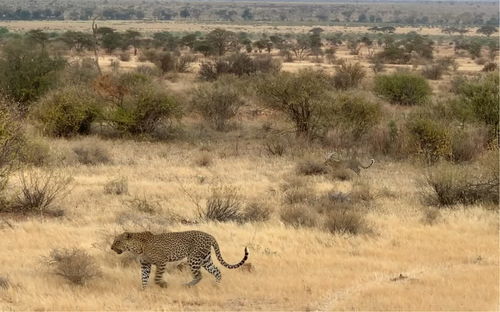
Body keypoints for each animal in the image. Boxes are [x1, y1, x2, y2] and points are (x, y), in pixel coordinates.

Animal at [111, 229, 248, 288]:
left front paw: (163, 284)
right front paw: (143, 290)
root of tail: (210, 235)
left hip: (193, 258)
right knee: (217, 271)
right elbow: (144, 278)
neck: (137, 247)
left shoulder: (161, 262)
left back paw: (187, 285)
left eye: (117, 241)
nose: (111, 247)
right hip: (205, 259)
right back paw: (216, 285)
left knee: (199, 275)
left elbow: (156, 278)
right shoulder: (145, 265)